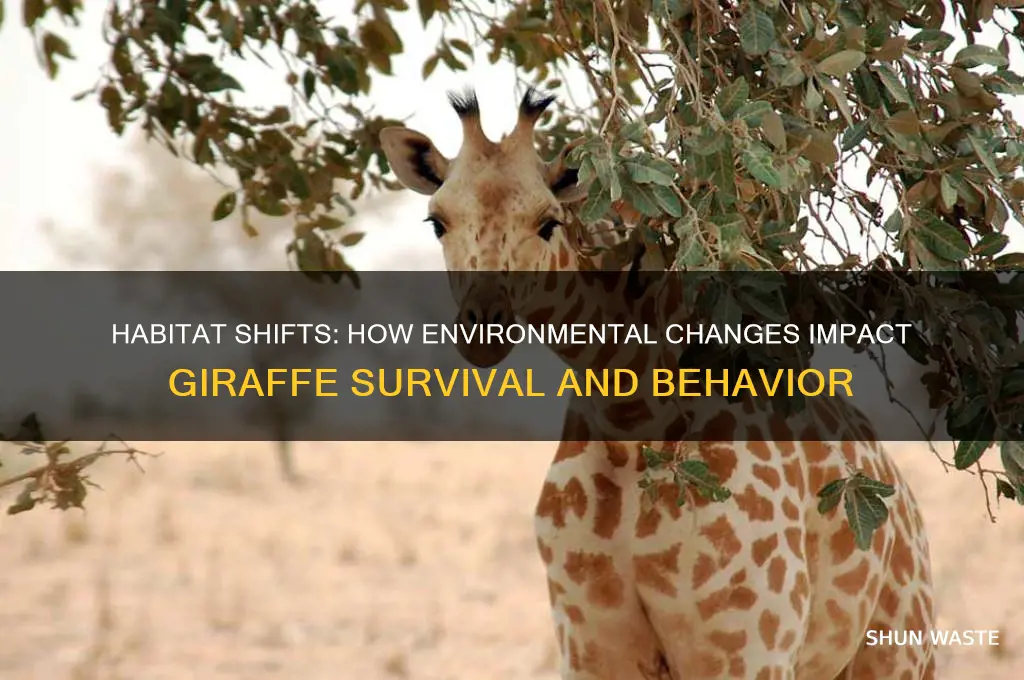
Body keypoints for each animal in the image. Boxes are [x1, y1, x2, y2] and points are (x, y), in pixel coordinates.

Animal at [379, 88, 937, 680]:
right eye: (437, 222)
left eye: (548, 221)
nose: (484, 328)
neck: (630, 419)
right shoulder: (589, 644)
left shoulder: (752, 647)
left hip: (899, 650)